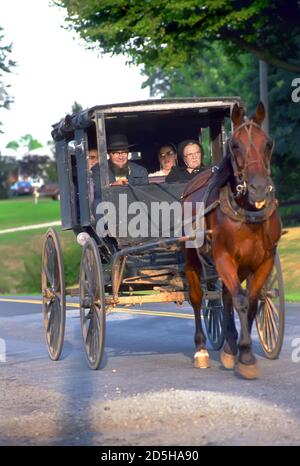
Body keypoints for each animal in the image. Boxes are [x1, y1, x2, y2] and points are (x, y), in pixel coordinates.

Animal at [182, 101, 282, 378]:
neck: (246, 213)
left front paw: (236, 350)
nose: (259, 189)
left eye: (268, 143)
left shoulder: (264, 261)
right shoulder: (223, 257)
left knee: (226, 295)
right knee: (198, 298)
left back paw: (228, 345)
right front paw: (246, 356)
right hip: (193, 258)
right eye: (235, 145)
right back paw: (201, 350)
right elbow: (241, 301)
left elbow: (253, 301)